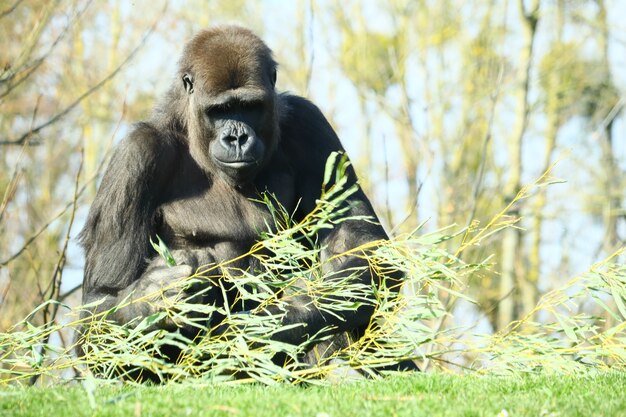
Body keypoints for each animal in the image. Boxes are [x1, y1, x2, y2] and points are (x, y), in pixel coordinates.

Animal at [78, 24, 408, 372]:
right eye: (220, 111)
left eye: (249, 107)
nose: (237, 137)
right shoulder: (135, 156)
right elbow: (97, 310)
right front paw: (158, 293)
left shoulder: (310, 124)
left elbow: (359, 249)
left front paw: (263, 327)